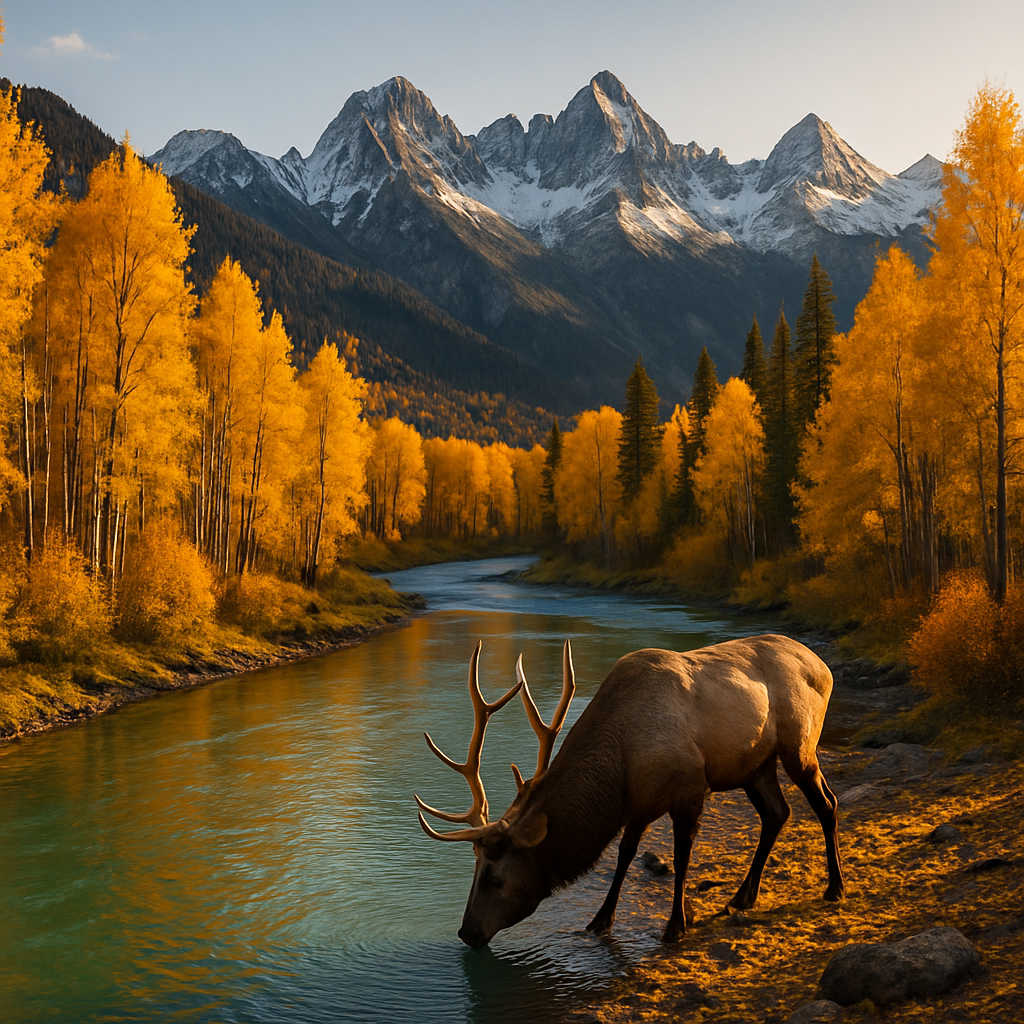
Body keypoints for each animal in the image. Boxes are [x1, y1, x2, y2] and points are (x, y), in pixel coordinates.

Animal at [415, 634, 845, 948]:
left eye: (495, 877)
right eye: (474, 870)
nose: (467, 932)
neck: (620, 766)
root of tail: (823, 666)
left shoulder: (690, 789)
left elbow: (681, 857)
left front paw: (675, 926)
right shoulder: (637, 804)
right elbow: (624, 854)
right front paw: (600, 920)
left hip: (799, 746)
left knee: (827, 802)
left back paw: (835, 888)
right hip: (755, 766)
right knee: (777, 812)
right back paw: (743, 897)